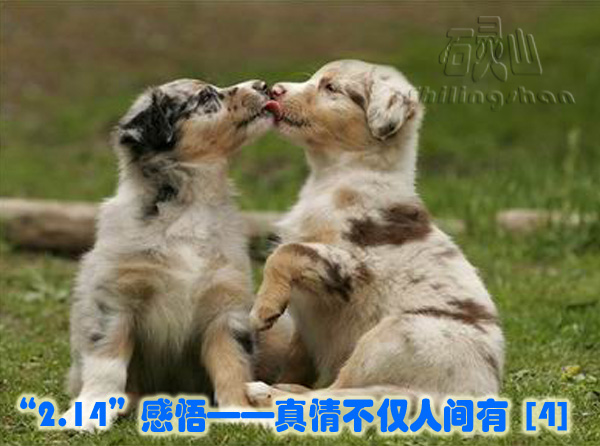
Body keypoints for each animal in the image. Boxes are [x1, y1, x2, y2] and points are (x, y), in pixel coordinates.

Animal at [64, 78, 284, 430]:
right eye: (206, 96)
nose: (263, 85)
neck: (191, 204)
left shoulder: (225, 308)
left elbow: (232, 366)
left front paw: (241, 413)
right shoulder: (115, 300)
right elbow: (107, 362)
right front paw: (89, 414)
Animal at [247, 60, 504, 404]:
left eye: (331, 87)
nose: (274, 90)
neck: (334, 177)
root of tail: (481, 394)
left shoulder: (352, 265)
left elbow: (285, 253)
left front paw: (264, 309)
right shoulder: (310, 319)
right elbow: (296, 357)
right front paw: (288, 373)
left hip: (395, 334)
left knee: (336, 393)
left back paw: (265, 391)